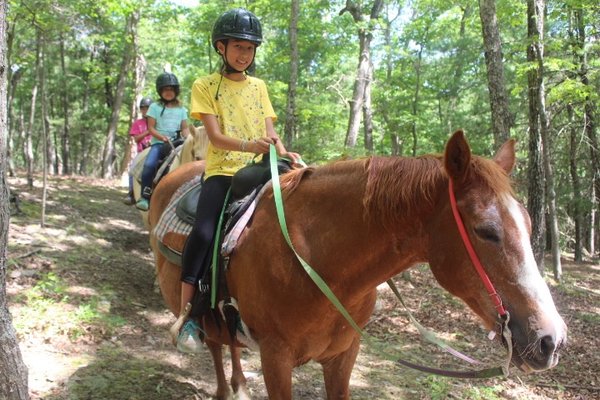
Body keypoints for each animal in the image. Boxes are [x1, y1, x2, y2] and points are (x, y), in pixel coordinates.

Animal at [148, 131, 564, 400]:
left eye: (529, 224)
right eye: (486, 231)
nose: (552, 339)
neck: (318, 263)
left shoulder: (344, 356)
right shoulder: (275, 359)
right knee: (215, 345)